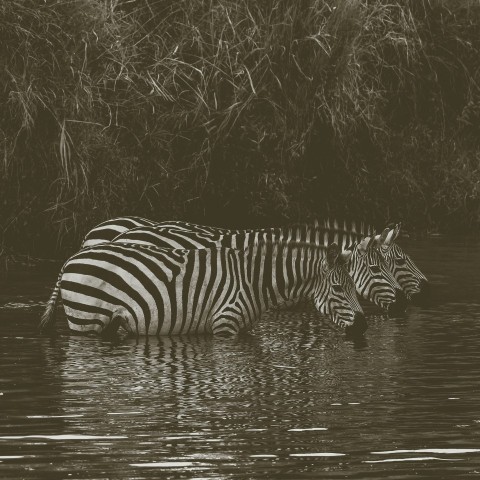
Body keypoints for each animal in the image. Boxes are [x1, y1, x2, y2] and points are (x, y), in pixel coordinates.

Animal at [39, 240, 366, 338]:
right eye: (338, 287)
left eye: (354, 286)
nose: (363, 324)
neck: (254, 281)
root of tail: (71, 258)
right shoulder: (225, 326)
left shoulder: (243, 329)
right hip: (86, 320)